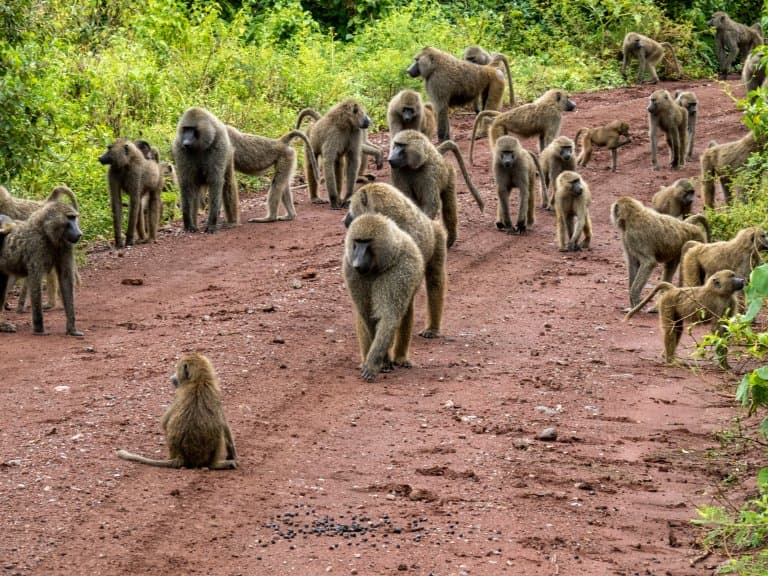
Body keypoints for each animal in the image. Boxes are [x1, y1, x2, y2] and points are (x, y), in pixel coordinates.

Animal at [0, 201, 82, 336]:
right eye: (69, 218)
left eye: (74, 218)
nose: (80, 233)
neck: (46, 233)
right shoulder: (36, 245)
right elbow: (35, 280)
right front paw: (39, 329)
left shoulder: (65, 245)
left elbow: (65, 278)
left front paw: (72, 329)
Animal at [343, 213, 425, 382]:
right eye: (357, 242)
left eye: (367, 242)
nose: (357, 263)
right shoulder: (350, 269)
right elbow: (367, 316)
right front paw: (383, 362)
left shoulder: (401, 270)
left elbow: (388, 317)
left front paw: (374, 364)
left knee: (405, 312)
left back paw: (400, 358)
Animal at [344, 182, 447, 338]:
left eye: (351, 209)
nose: (344, 220)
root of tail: (431, 223)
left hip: (438, 239)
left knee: (434, 280)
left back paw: (432, 328)